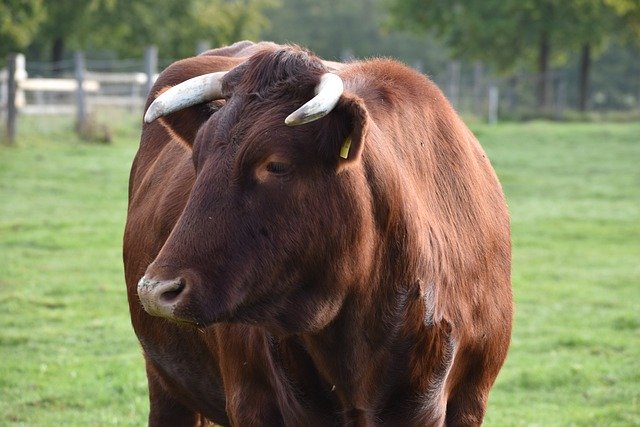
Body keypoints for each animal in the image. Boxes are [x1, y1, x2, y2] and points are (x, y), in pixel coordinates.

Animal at [124, 41, 516, 427]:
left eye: (276, 164)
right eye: (197, 158)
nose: (157, 290)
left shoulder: (465, 401)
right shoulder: (252, 401)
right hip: (165, 383)